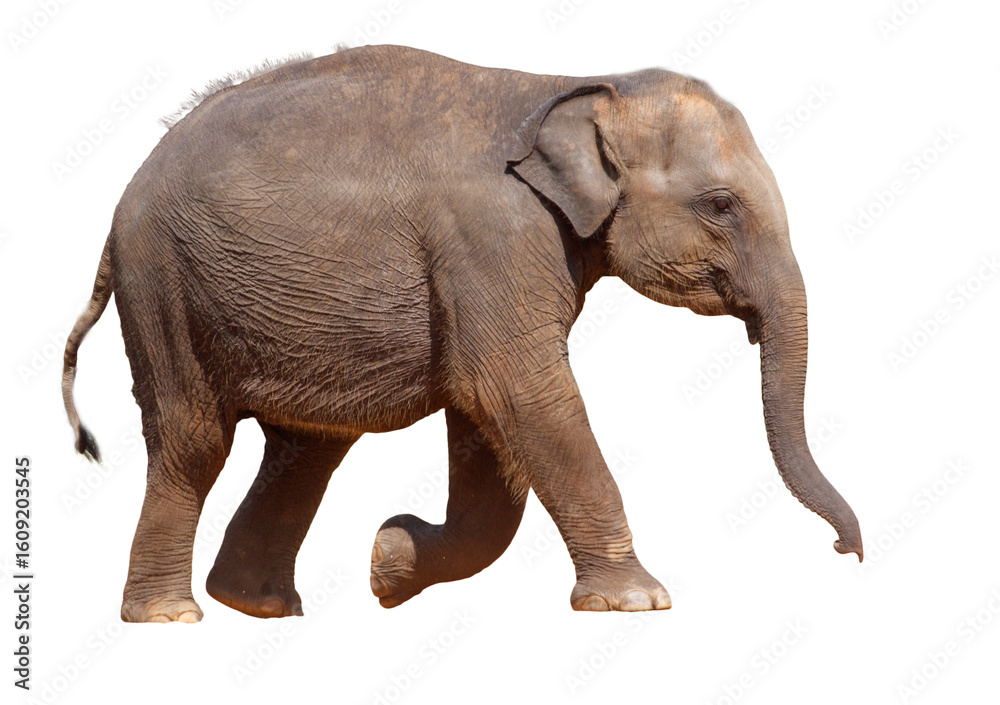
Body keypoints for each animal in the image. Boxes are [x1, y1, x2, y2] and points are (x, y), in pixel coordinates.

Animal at [62, 44, 862, 623]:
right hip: (162, 286)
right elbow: (520, 391)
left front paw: (386, 563)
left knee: (308, 448)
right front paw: (639, 602)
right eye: (721, 205)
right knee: (194, 439)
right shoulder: (492, 235)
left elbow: (486, 424)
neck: (576, 85)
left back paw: (257, 607)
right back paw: (170, 618)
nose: (845, 551)